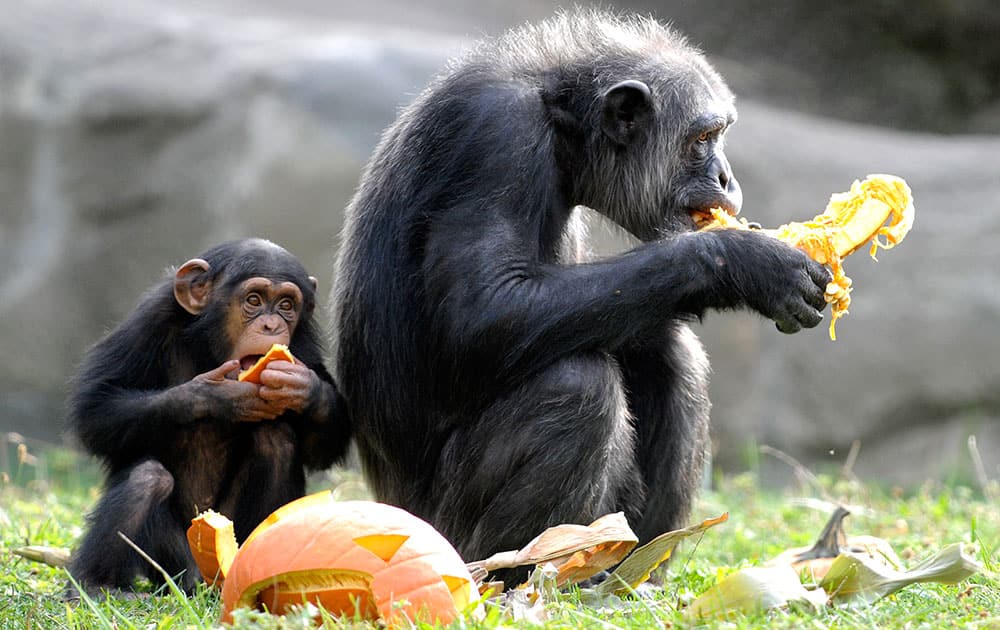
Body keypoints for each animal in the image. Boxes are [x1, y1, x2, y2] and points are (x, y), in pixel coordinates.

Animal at [68, 238, 350, 596]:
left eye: (287, 305)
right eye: (254, 300)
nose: (272, 325)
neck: (210, 347)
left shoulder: (303, 345)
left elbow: (323, 447)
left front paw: (305, 388)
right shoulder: (151, 319)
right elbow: (98, 407)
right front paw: (218, 396)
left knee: (276, 441)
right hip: (173, 560)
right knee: (146, 479)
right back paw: (93, 583)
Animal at [328, 9, 828, 576]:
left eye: (718, 135)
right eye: (703, 137)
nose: (726, 175)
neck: (562, 123)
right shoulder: (495, 138)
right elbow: (483, 310)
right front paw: (744, 261)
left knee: (670, 357)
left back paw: (629, 571)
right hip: (438, 531)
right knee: (577, 386)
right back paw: (519, 574)